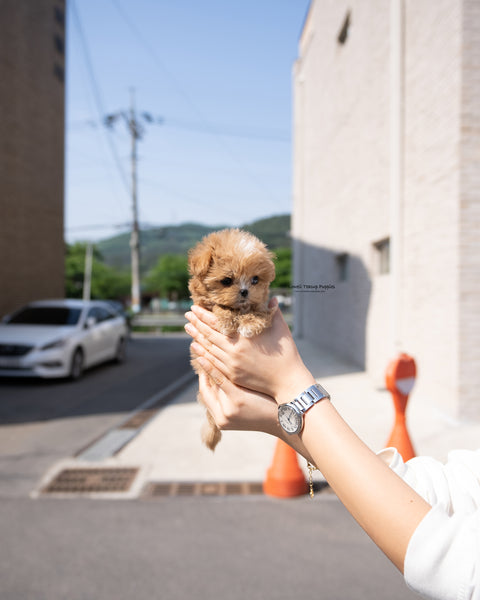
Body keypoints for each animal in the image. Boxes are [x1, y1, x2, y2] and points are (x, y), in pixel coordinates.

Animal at [188, 230, 278, 450]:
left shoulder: (261, 306)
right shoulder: (204, 305)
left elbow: (257, 312)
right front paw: (226, 320)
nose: (245, 291)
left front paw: (249, 324)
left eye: (255, 280)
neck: (239, 309)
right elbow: (218, 306)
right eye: (227, 281)